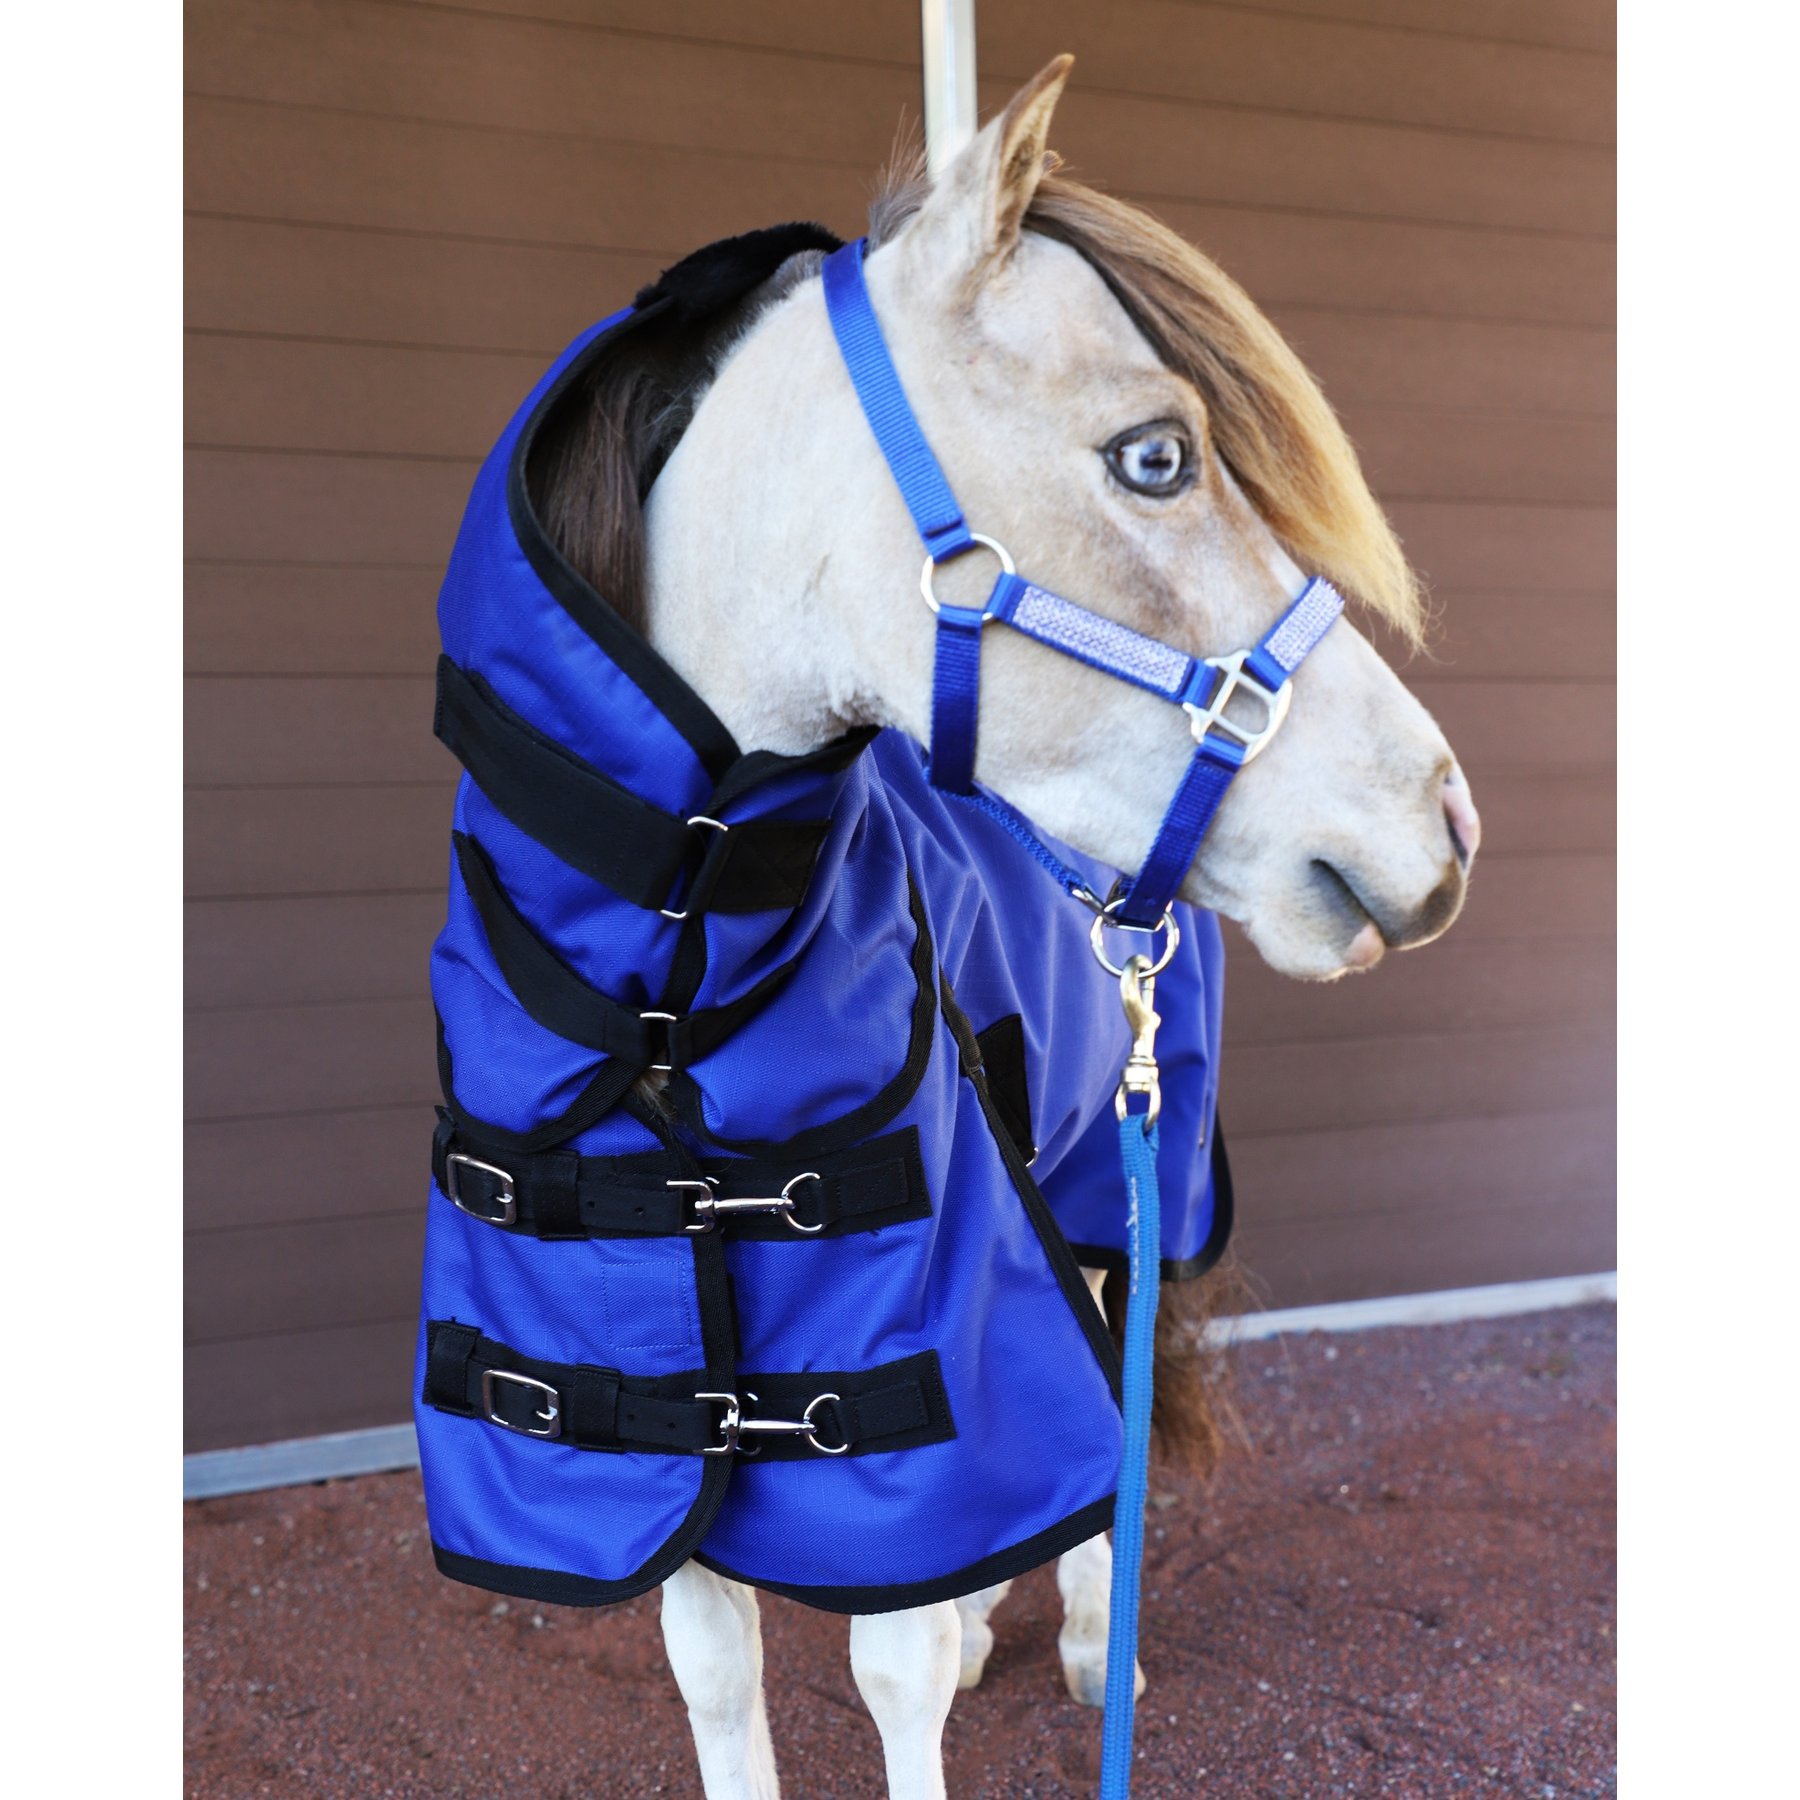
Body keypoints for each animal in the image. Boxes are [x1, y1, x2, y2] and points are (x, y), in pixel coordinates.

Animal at [431, 55, 1478, 1800]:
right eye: (1155, 458)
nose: (1446, 828)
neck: (672, 972)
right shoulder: (647, 1425)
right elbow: (718, 1666)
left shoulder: (915, 1372)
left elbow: (892, 1660)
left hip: (1115, 1188)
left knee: (1111, 1387)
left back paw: (1085, 1641)